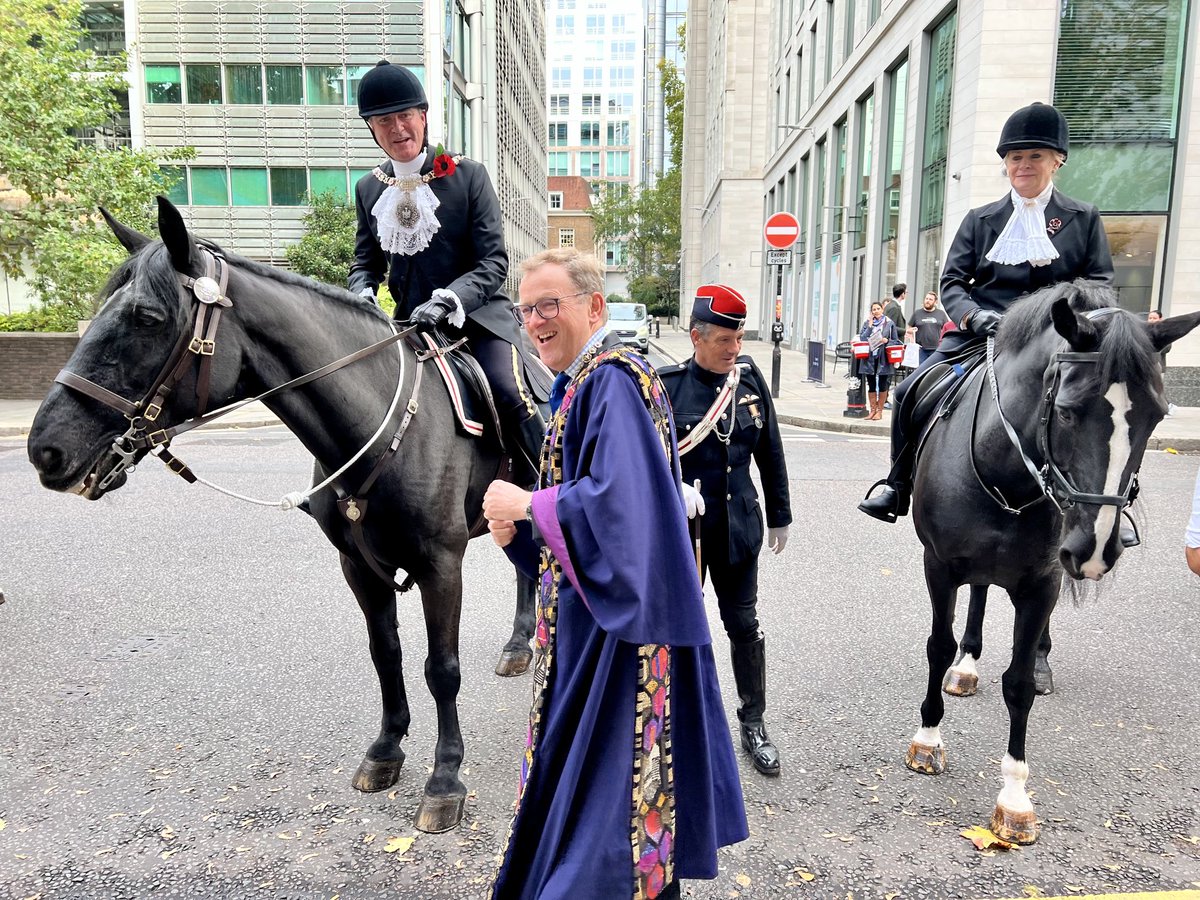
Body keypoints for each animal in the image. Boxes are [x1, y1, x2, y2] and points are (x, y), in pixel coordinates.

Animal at [28, 200, 537, 835]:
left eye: (147, 317)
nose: (46, 449)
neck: (384, 424)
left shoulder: (441, 563)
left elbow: (441, 667)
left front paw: (445, 780)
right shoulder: (358, 567)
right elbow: (386, 654)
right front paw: (386, 750)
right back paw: (522, 642)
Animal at [902, 282, 1195, 844]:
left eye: (1156, 416)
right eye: (1066, 411)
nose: (1095, 549)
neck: (1006, 473)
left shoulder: (1043, 582)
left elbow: (1017, 683)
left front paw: (1014, 797)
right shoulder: (939, 566)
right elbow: (937, 646)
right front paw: (928, 738)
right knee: (976, 597)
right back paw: (964, 667)